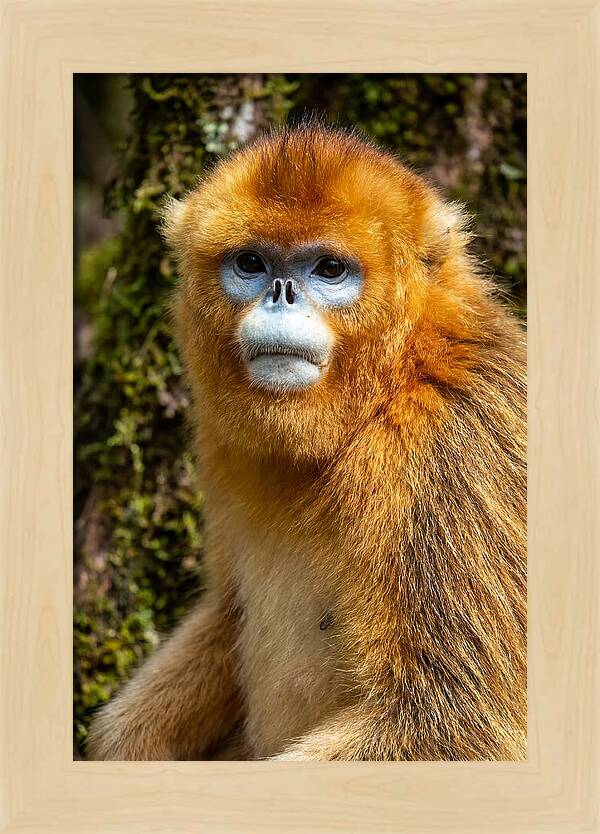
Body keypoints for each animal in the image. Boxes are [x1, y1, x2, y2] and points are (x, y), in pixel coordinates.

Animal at [86, 124, 526, 761]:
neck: (390, 388)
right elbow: (226, 614)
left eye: (329, 269)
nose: (281, 293)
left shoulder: (450, 446)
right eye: (250, 263)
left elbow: (455, 726)